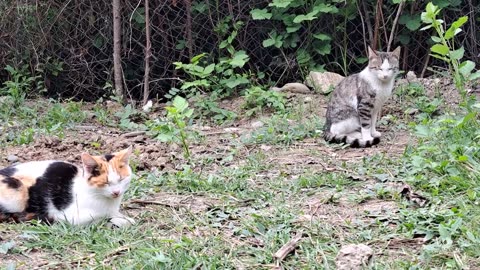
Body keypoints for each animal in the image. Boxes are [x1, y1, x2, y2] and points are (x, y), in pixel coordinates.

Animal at [0, 147, 134, 227]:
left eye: (121, 179)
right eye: (106, 183)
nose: (116, 192)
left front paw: (124, 218)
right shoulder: (71, 217)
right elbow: (101, 217)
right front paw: (122, 220)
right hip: (18, 193)